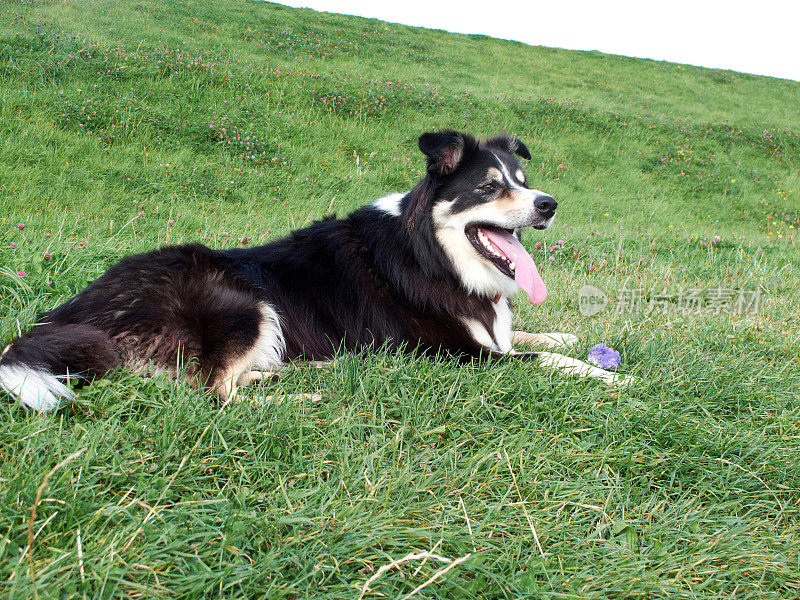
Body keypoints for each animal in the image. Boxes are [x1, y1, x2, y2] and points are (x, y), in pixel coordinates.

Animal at [0, 131, 632, 412]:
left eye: (523, 182)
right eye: (490, 187)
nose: (549, 204)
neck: (432, 253)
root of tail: (64, 316)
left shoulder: (492, 337)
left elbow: (534, 337)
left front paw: (569, 333)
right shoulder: (458, 355)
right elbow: (543, 360)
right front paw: (617, 378)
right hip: (242, 300)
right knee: (215, 394)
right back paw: (304, 395)